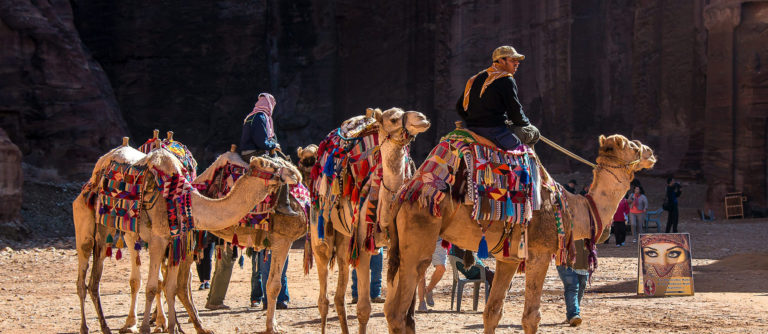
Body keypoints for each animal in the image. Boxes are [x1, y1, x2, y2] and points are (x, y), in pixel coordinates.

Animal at [73, 139, 298, 334]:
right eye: (273, 166)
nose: (295, 174)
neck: (187, 201)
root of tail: (96, 171)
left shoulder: (175, 242)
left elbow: (170, 287)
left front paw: (173, 328)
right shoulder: (158, 239)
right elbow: (153, 287)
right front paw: (147, 328)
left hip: (110, 231)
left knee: (96, 280)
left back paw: (106, 327)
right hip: (84, 219)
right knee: (83, 278)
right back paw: (87, 327)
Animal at [312, 107, 432, 334]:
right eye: (393, 119)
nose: (422, 118)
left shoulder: (395, 248)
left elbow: (390, 312)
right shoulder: (362, 247)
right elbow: (363, 309)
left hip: (344, 239)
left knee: (339, 296)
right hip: (321, 230)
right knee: (323, 297)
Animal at [384, 134, 656, 334]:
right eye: (633, 146)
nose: (651, 152)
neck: (572, 207)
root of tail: (404, 194)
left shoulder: (508, 259)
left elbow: (492, 312)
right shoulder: (539, 252)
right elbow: (531, 317)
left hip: (400, 250)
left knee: (394, 311)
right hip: (420, 238)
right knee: (398, 312)